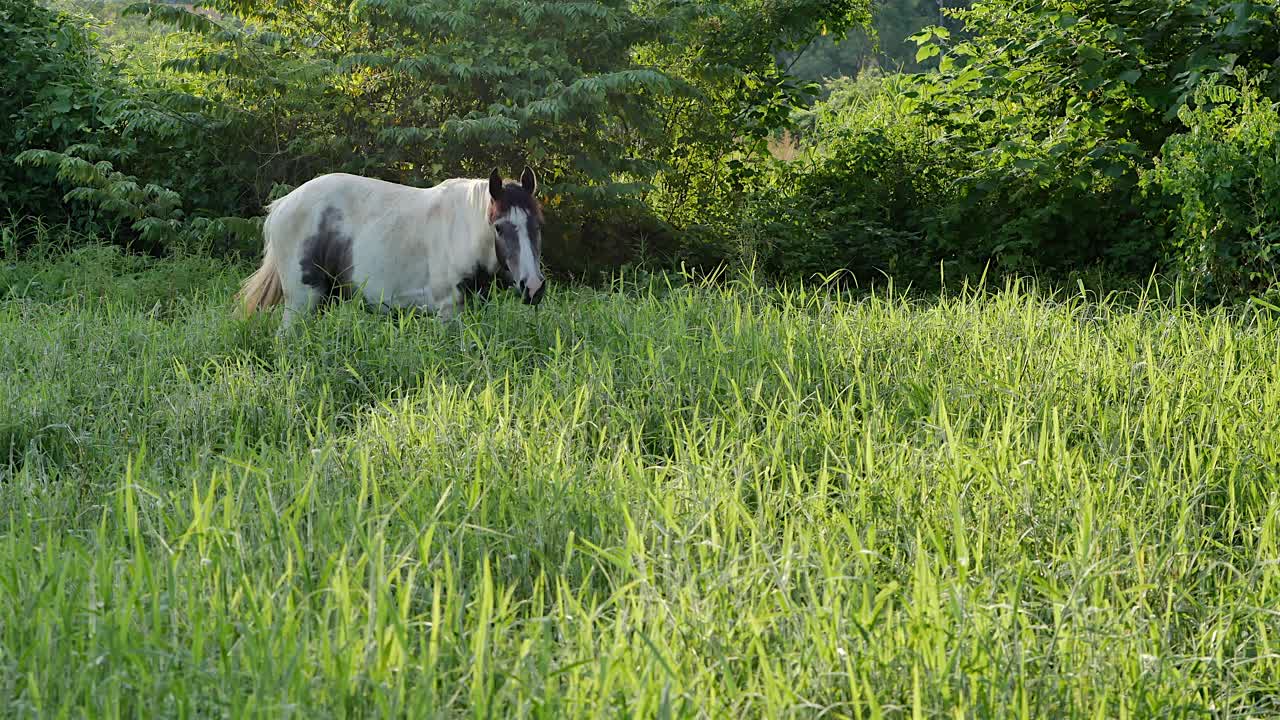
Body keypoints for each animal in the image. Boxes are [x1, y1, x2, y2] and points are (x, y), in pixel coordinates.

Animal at [235, 165, 545, 327]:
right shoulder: (448, 311)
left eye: (538, 225)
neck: (461, 228)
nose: (533, 288)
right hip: (301, 303)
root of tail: (282, 204)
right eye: (499, 227)